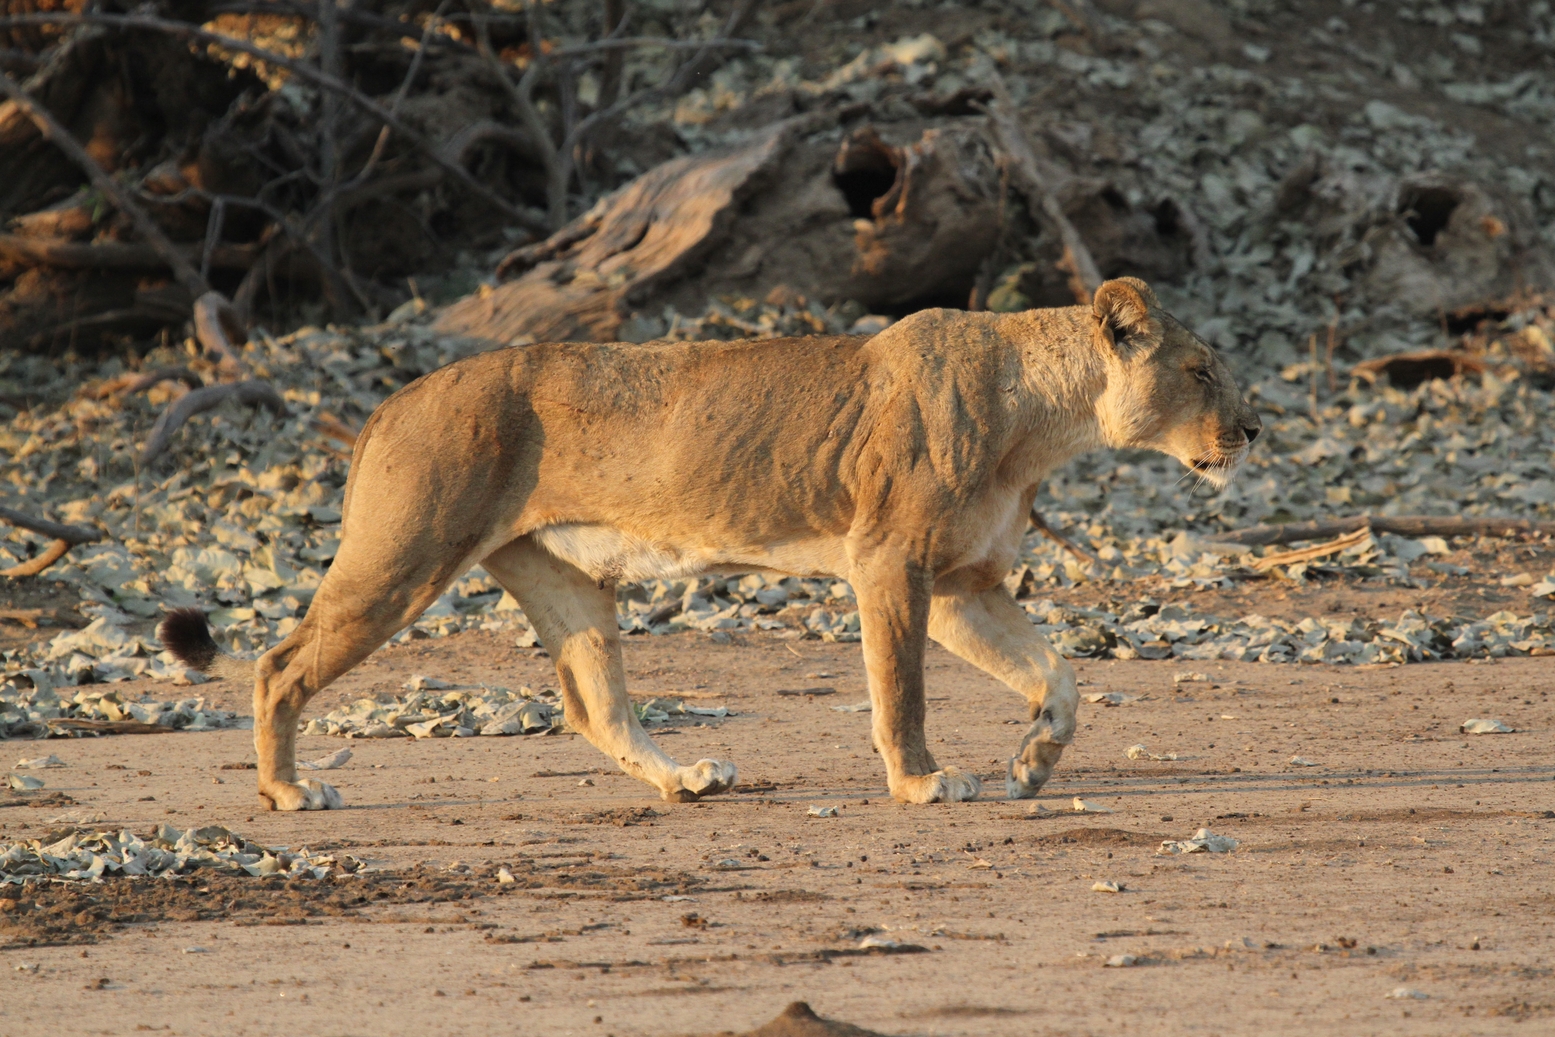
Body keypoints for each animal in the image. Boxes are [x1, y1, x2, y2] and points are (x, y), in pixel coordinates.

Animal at [159, 276, 1259, 811]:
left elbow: (1060, 675)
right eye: (1202, 371)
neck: (1044, 417)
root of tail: (391, 401)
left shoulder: (960, 584)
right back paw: (288, 789)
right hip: (403, 556)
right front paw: (921, 780)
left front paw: (1032, 763)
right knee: (278, 663)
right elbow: (898, 690)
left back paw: (685, 778)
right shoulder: (889, 562)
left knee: (595, 707)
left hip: (563, 581)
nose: (1252, 429)